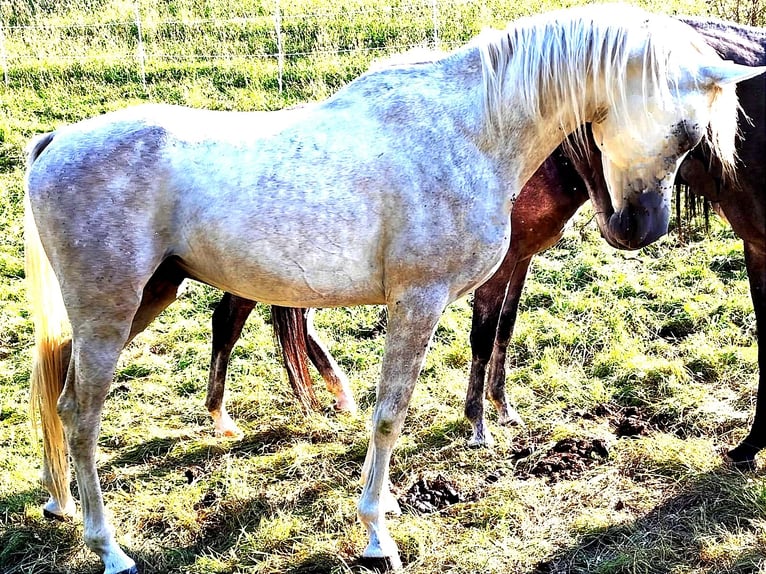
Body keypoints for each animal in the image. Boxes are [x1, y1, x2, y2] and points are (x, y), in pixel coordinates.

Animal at [206, 18, 766, 468]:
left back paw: (336, 394)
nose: (632, 227)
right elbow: (482, 334)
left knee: (292, 319)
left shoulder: (519, 260)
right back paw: (227, 412)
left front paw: (503, 407)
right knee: (231, 316)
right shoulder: (490, 269)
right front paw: (477, 424)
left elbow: (505, 328)